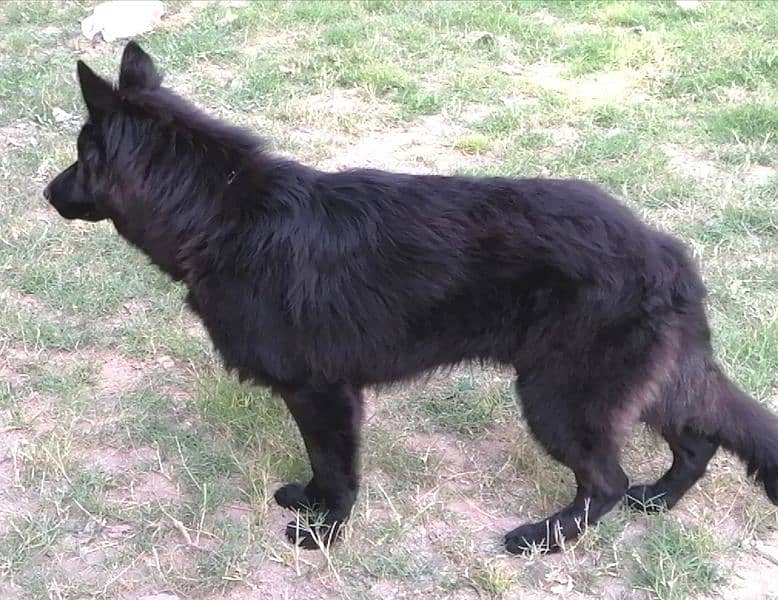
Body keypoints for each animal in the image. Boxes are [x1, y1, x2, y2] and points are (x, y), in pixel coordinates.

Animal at [44, 42, 776, 556]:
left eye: (81, 153)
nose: (46, 193)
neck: (220, 214)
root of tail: (664, 249)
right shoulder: (322, 395)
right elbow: (322, 466)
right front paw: (309, 503)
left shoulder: (322, 393)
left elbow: (336, 467)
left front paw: (324, 534)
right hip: (632, 386)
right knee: (697, 442)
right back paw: (661, 499)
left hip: (560, 398)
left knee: (607, 483)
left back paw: (545, 539)